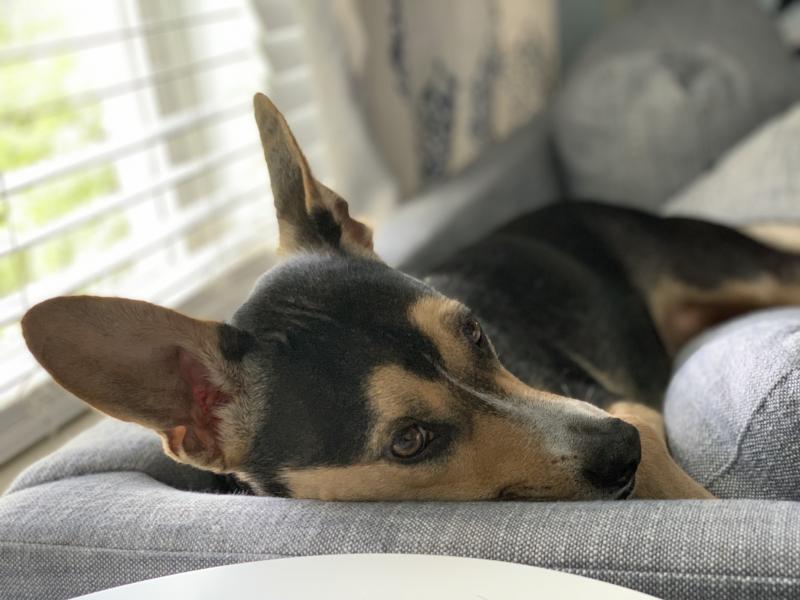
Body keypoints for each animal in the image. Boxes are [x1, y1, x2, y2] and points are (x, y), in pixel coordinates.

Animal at [20, 95, 800, 502]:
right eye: (409, 441)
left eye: (477, 332)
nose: (621, 449)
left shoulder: (620, 406)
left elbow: (683, 491)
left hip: (732, 268)